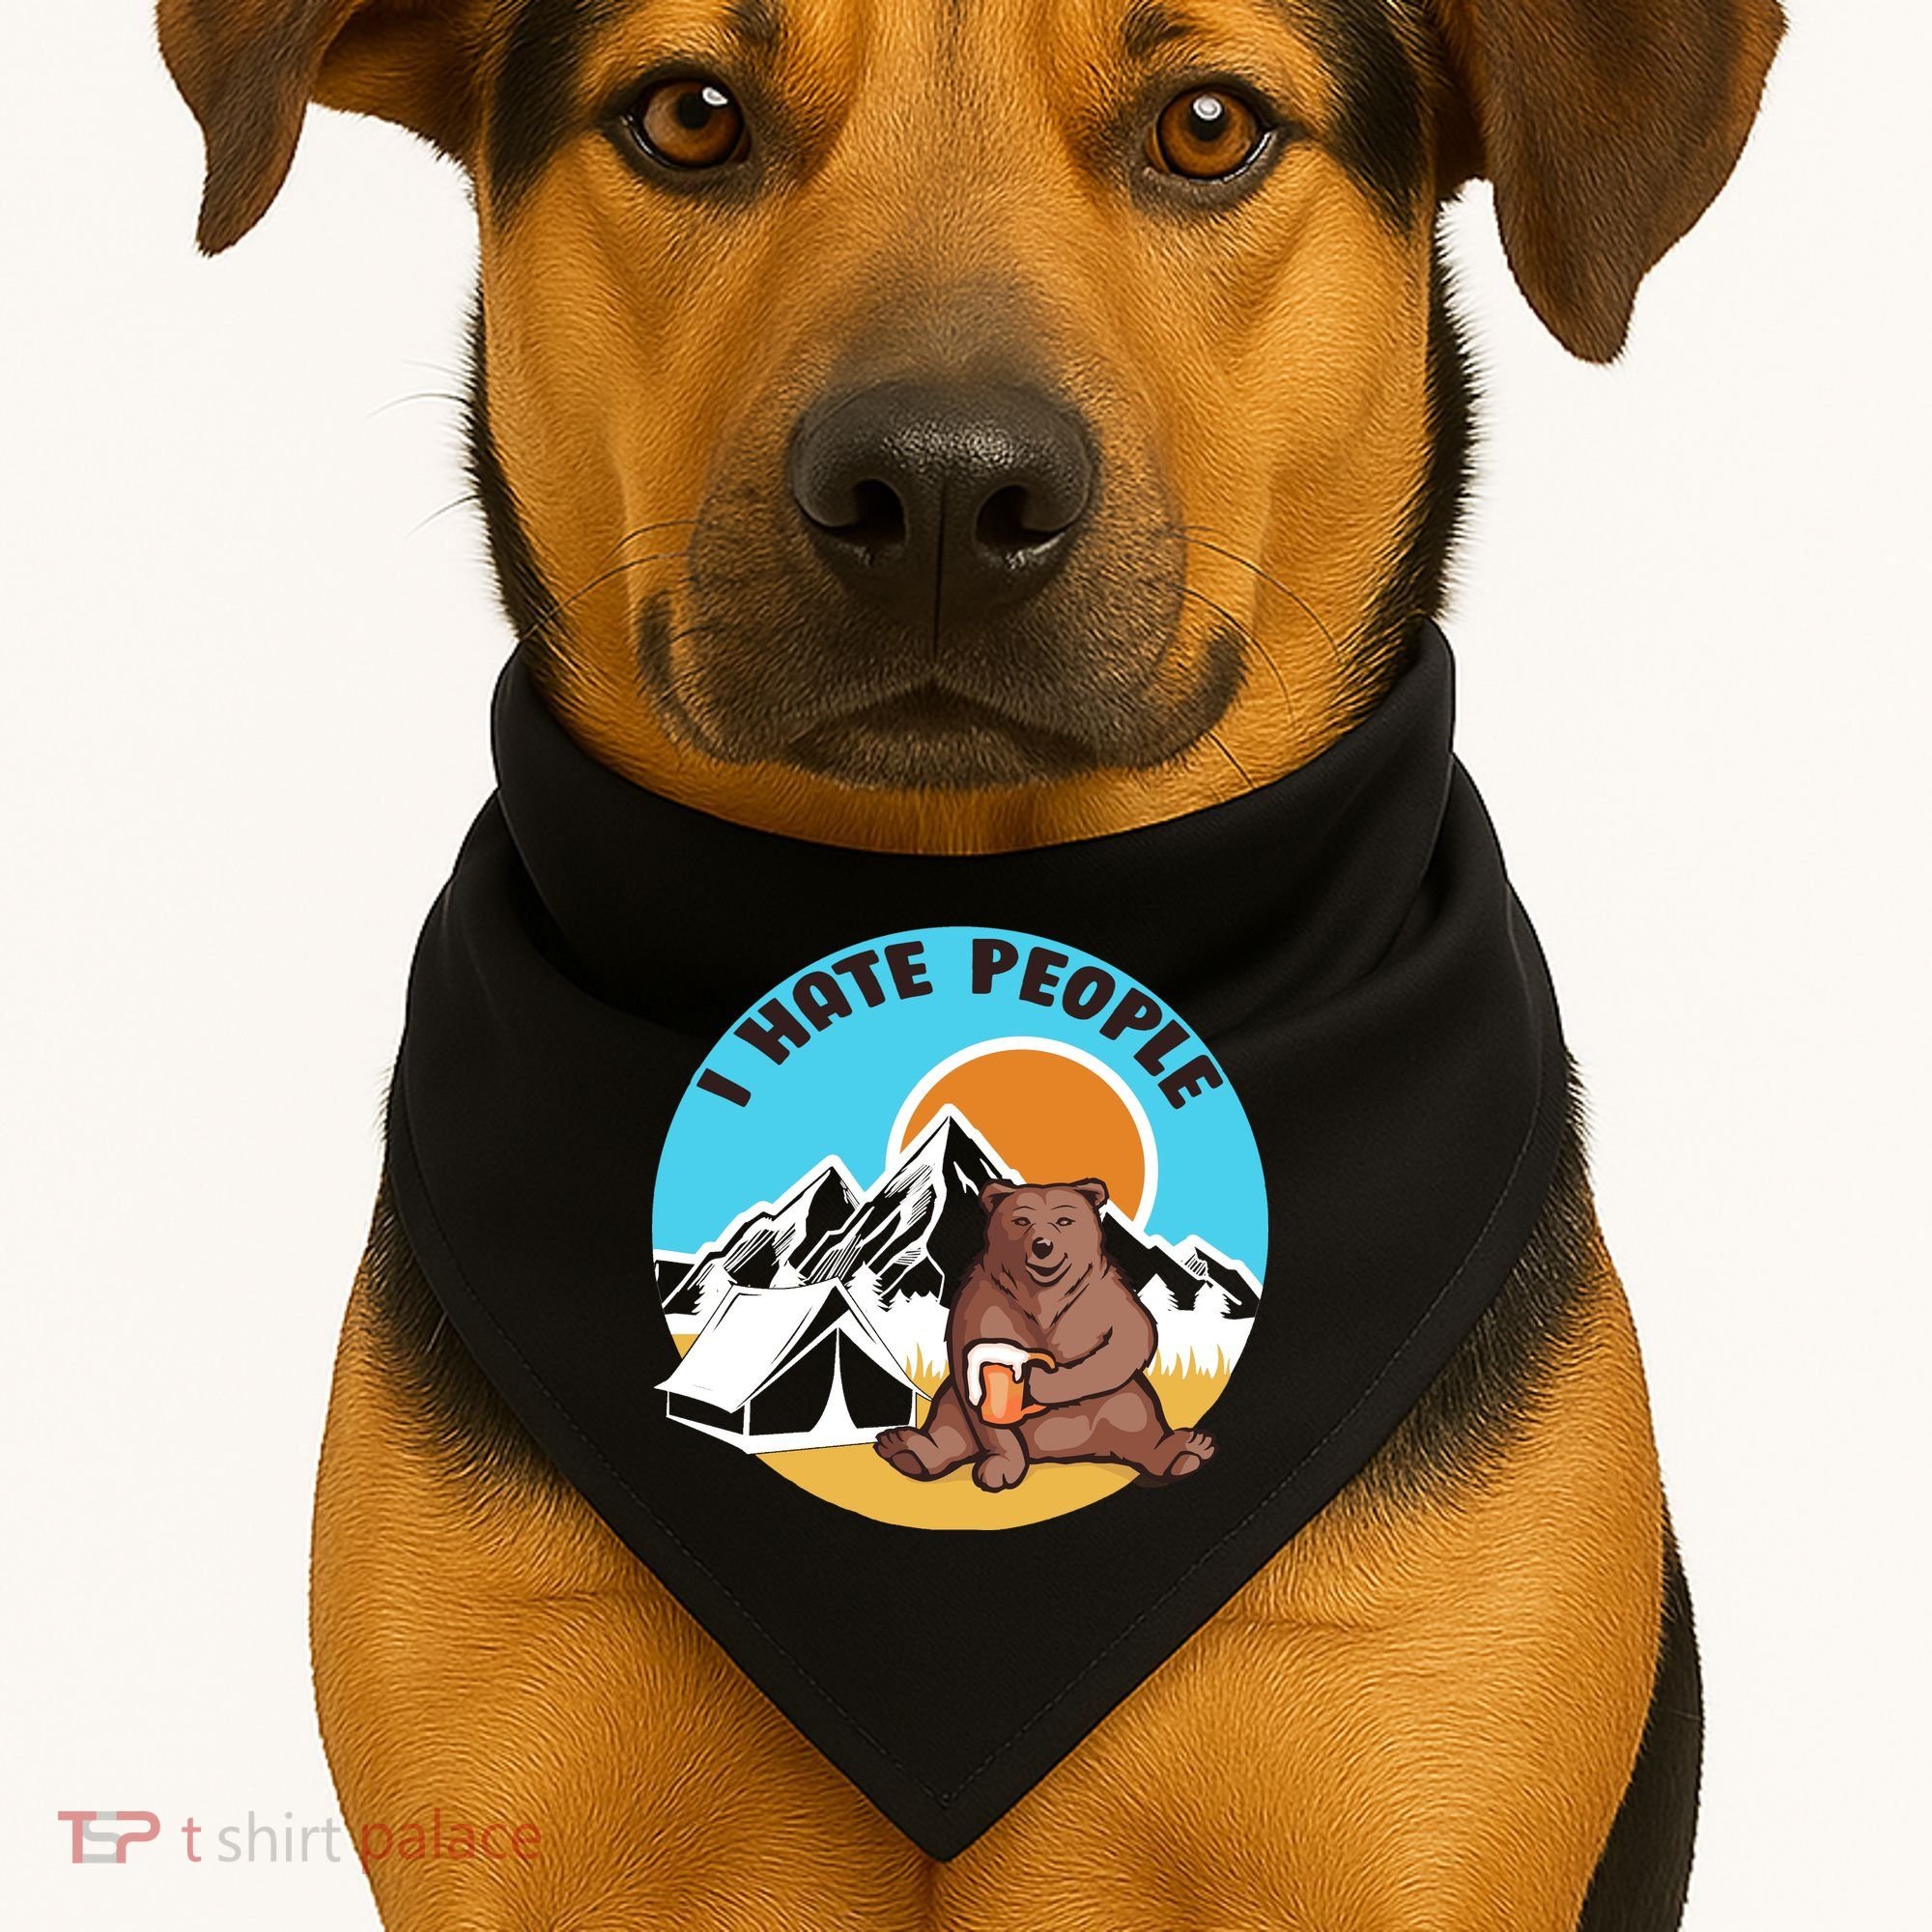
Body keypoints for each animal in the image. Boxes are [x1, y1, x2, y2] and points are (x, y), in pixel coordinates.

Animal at [875, 1178, 1215, 1491]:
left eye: (1064, 1220)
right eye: (1021, 1220)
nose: (1042, 1245)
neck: (1043, 1294)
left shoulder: (1104, 1294)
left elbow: (1129, 1341)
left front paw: (1037, 1381)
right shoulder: (985, 1299)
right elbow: (973, 1370)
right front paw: (1002, 1466)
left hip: (1118, 1403)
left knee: (1137, 1422)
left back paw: (1184, 1451)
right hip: (953, 1406)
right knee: (951, 1424)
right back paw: (907, 1449)